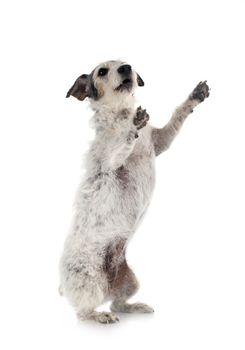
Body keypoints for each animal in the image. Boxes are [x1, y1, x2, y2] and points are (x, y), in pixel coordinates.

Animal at [58, 59, 209, 322]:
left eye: (124, 62)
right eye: (102, 71)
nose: (126, 68)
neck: (121, 113)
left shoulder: (160, 141)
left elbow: (177, 116)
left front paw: (195, 96)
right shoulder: (109, 160)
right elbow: (122, 147)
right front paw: (132, 129)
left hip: (130, 281)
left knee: (117, 303)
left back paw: (134, 307)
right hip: (90, 280)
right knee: (83, 312)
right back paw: (99, 316)